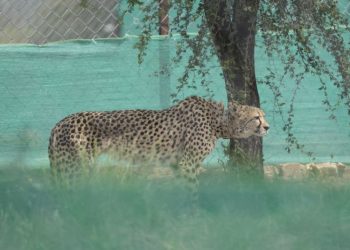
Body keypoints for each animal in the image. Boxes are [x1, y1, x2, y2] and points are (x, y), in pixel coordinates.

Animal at [47, 96, 270, 184]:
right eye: (256, 117)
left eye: (263, 115)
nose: (267, 127)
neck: (216, 122)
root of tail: (59, 122)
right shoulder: (187, 163)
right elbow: (193, 190)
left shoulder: (177, 165)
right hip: (75, 168)